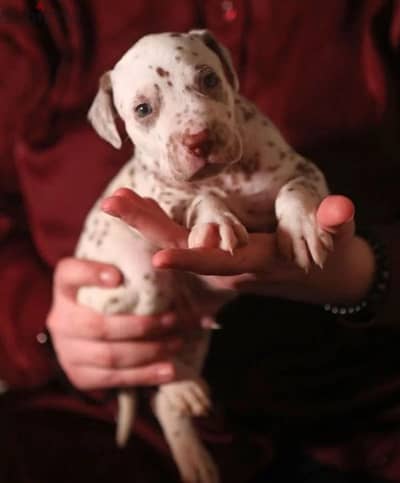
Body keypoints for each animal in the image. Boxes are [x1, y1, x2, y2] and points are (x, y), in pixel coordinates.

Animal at [75, 31, 332, 483]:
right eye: (143, 109)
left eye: (209, 79)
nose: (200, 140)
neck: (229, 176)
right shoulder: (162, 197)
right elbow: (200, 198)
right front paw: (214, 219)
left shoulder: (301, 168)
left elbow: (294, 188)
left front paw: (301, 225)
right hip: (138, 280)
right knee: (153, 352)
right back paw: (182, 390)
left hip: (194, 337)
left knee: (163, 396)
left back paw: (193, 454)